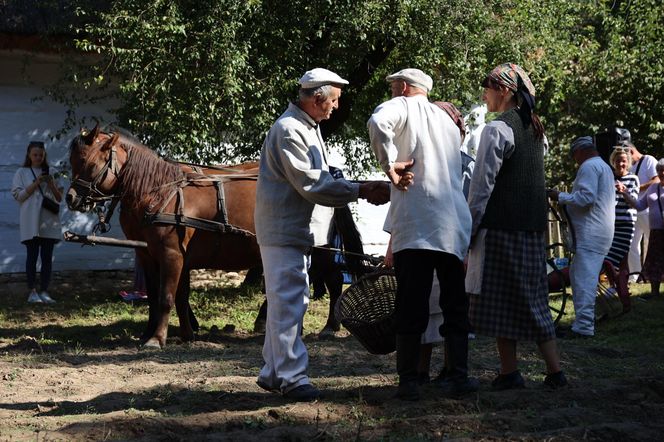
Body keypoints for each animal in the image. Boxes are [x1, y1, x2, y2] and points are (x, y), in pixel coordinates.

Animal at [67, 126, 262, 348]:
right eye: (73, 161)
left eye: (91, 164)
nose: (71, 198)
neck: (160, 192)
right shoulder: (150, 255)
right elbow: (167, 296)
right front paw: (181, 334)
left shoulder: (172, 255)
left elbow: (166, 297)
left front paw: (157, 338)